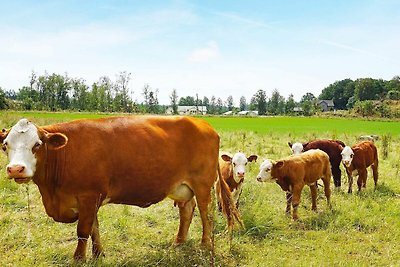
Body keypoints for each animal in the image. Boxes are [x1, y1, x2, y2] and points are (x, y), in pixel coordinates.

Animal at [0, 117, 239, 262]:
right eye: (5, 145)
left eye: (37, 144)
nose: (16, 169)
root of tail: (202, 122)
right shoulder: (93, 198)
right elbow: (94, 228)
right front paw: (98, 254)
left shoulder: (88, 196)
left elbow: (83, 231)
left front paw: (79, 258)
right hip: (182, 187)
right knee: (187, 211)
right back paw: (178, 243)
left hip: (203, 185)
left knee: (206, 215)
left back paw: (205, 245)